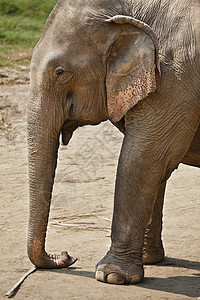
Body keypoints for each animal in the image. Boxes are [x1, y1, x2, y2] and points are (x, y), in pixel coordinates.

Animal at [27, 0, 200, 284]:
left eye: (61, 73)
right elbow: (157, 164)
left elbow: (142, 156)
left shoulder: (176, 78)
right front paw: (147, 260)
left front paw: (111, 276)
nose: (66, 256)